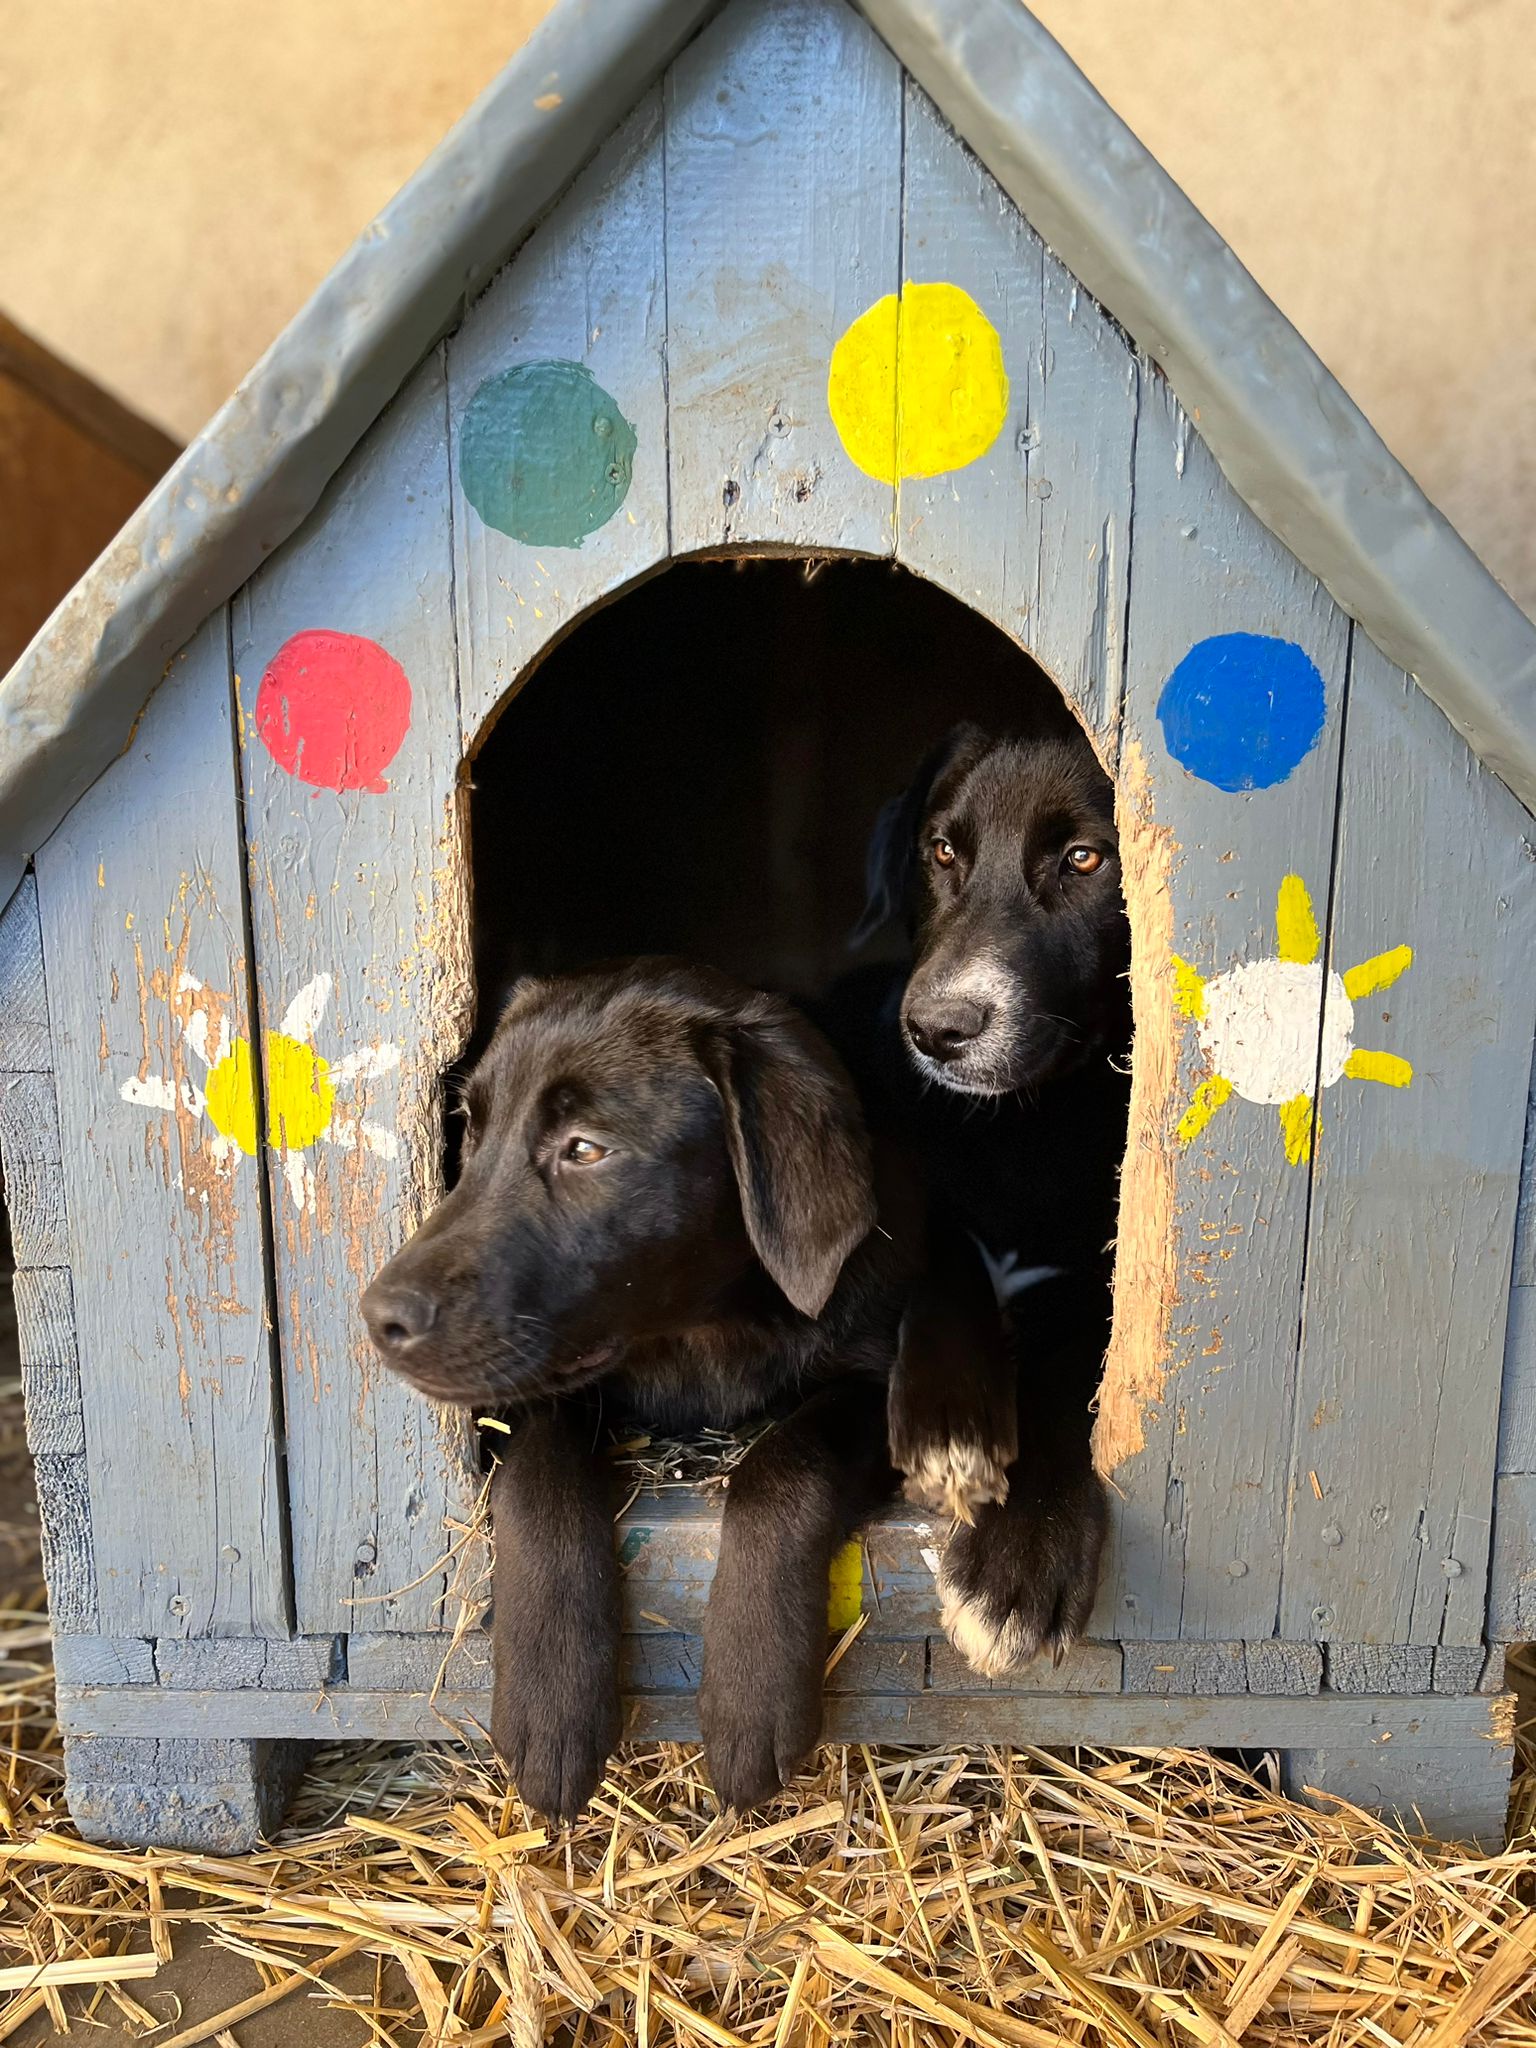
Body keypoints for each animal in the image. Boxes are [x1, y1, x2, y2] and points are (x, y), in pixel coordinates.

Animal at [362, 959, 924, 1820]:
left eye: (585, 1149)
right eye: (471, 1127)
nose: (378, 1316)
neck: (698, 1334)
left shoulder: (878, 1379)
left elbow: (783, 1466)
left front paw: (751, 1691)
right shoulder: (532, 1384)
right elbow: (543, 1484)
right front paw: (551, 1700)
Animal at [825, 720, 1131, 1673]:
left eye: (1084, 857)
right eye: (943, 850)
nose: (937, 1030)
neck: (1019, 1126)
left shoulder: (1099, 1277)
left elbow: (1078, 1372)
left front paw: (1021, 1559)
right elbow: (943, 1250)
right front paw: (949, 1424)